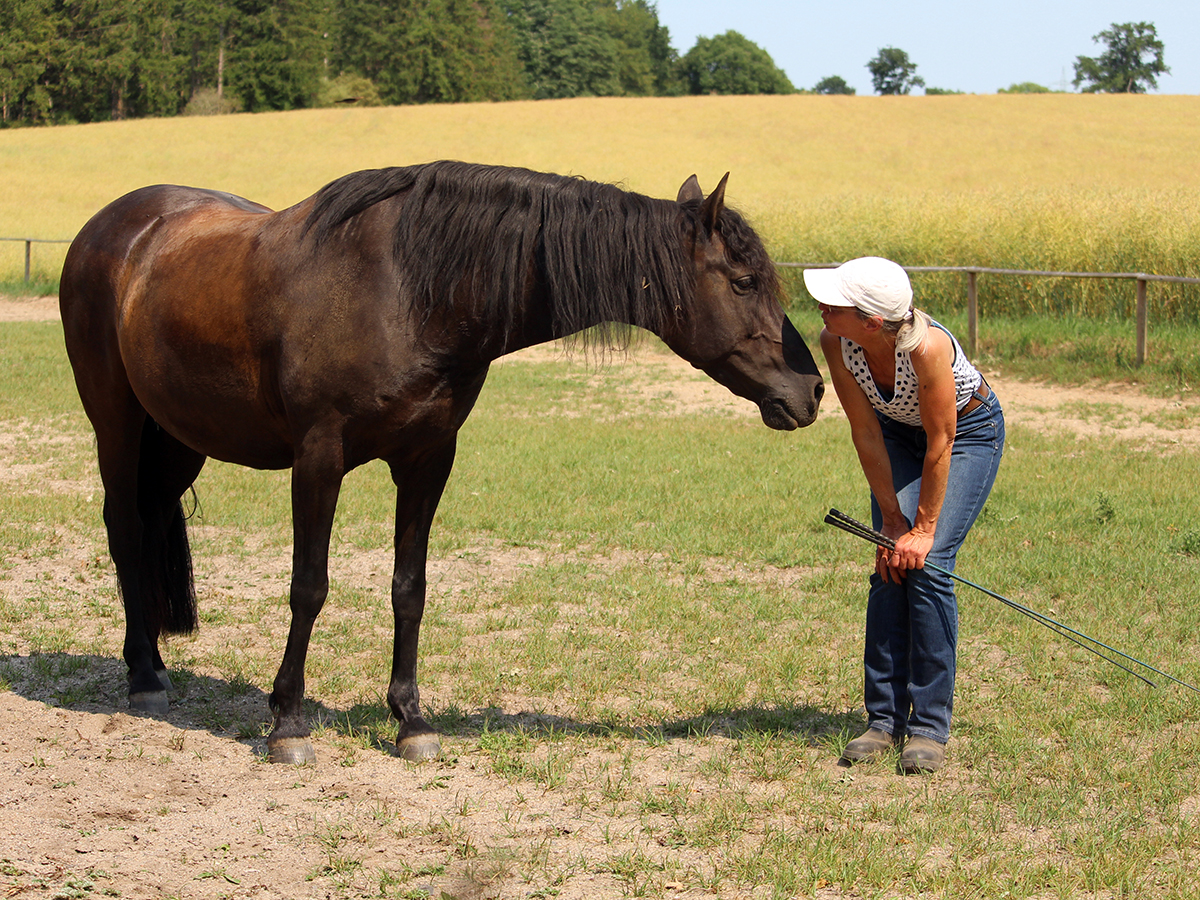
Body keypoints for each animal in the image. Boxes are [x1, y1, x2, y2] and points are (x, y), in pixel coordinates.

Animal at [59, 161, 824, 764]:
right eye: (745, 281)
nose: (811, 391)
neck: (407, 289)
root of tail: (116, 227)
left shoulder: (428, 459)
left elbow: (410, 587)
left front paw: (411, 720)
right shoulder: (319, 458)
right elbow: (310, 585)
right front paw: (288, 722)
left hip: (178, 439)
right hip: (117, 424)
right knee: (125, 530)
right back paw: (144, 677)